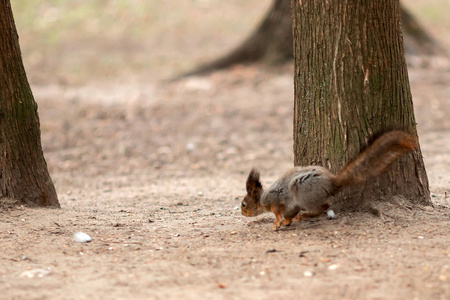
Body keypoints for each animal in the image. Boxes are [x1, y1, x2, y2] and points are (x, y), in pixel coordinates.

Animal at [243, 130, 418, 231]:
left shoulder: (273, 199)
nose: (242, 213)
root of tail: (332, 182)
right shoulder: (290, 208)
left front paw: (277, 222)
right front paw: (285, 223)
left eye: (244, 204)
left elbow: (278, 212)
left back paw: (305, 215)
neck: (262, 199)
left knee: (323, 207)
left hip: (301, 191)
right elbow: (288, 216)